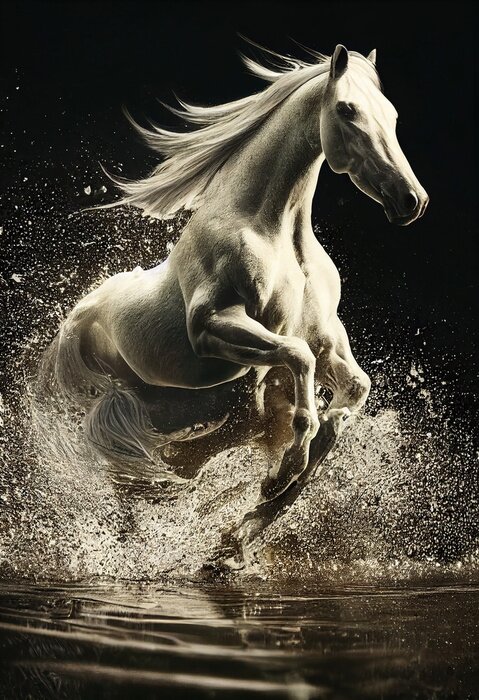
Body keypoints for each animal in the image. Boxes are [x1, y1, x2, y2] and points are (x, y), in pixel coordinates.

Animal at [39, 43, 428, 564]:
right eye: (347, 109)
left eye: (392, 113)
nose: (411, 200)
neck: (274, 233)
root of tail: (77, 318)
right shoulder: (215, 327)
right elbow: (297, 362)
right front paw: (281, 475)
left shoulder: (326, 342)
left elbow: (349, 395)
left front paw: (256, 513)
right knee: (140, 477)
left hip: (185, 410)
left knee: (178, 462)